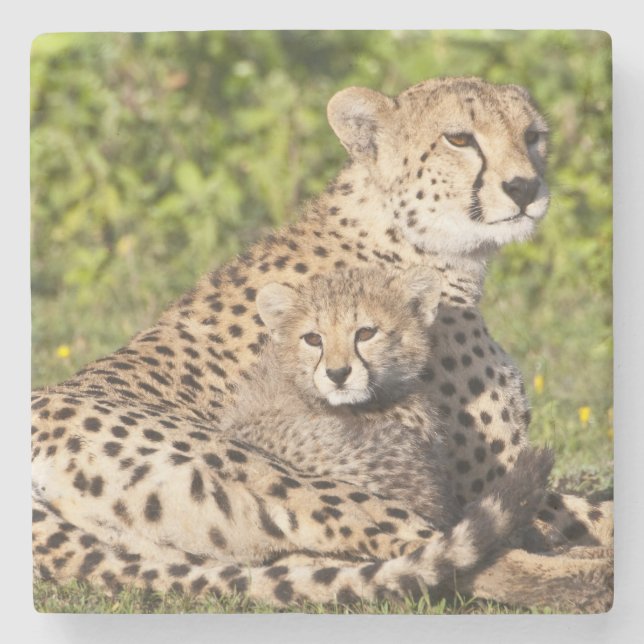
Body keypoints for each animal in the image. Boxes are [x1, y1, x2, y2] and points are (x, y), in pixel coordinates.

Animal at [32, 75, 613, 611]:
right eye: (459, 139)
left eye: (533, 136)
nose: (525, 188)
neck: (409, 238)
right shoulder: (475, 477)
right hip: (290, 475)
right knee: (464, 559)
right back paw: (590, 575)